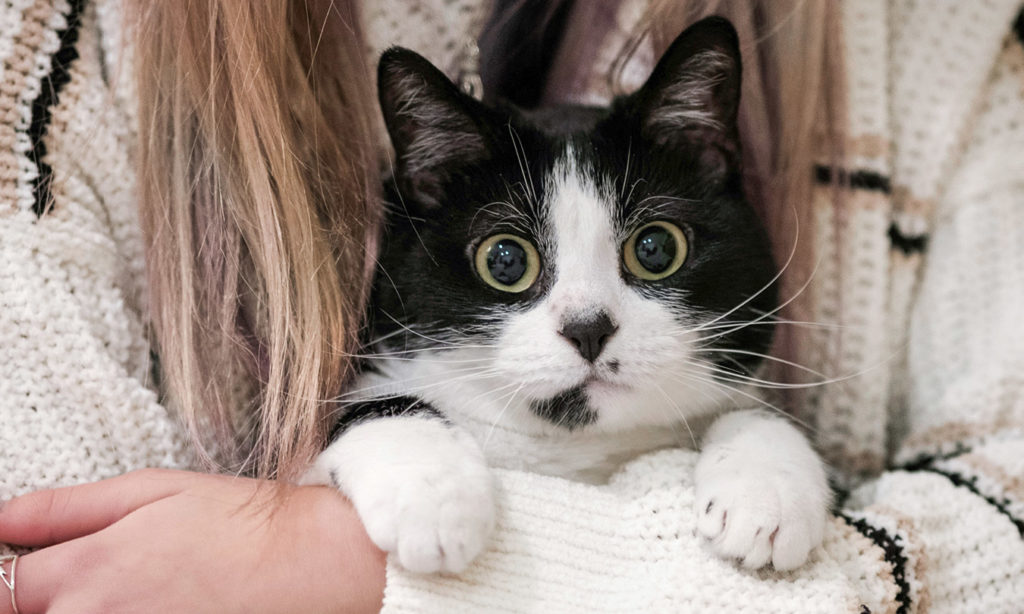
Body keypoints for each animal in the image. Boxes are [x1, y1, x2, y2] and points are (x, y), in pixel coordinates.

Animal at [299, 18, 827, 577]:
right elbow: (370, 404)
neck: (573, 451)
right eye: (505, 260)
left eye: (656, 248)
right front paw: (432, 498)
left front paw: (767, 492)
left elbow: (751, 411)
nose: (588, 328)